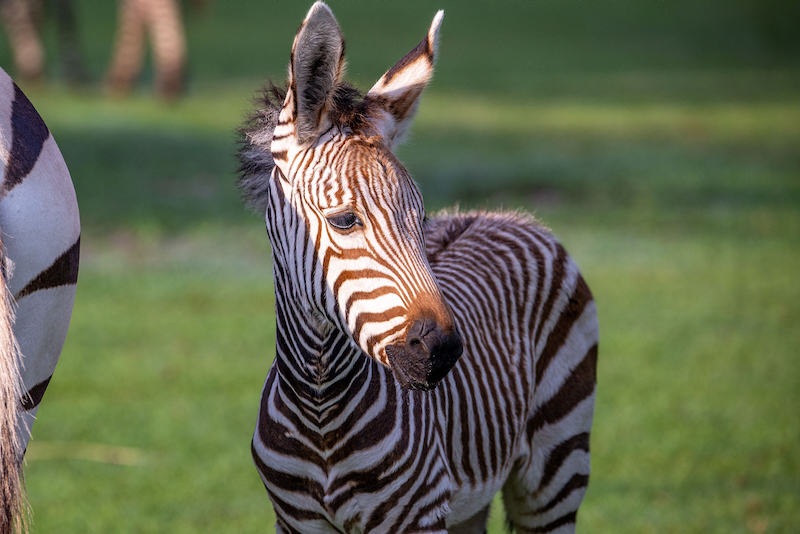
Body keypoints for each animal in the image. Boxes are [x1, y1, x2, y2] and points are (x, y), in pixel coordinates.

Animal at [237, 3, 598, 533]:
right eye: (344, 220)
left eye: (421, 218)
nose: (443, 352)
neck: (320, 409)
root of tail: (503, 214)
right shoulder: (295, 520)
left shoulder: (419, 515)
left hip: (556, 469)